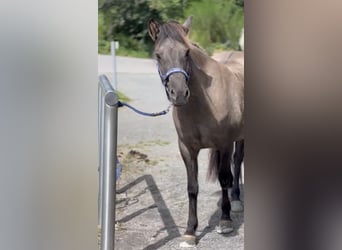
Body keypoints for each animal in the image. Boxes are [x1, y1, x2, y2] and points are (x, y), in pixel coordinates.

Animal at [147, 16, 243, 247]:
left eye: (187, 52)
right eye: (158, 55)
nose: (179, 94)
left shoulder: (225, 143)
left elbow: (224, 178)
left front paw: (225, 221)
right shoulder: (187, 148)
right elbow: (192, 187)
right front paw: (190, 231)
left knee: (237, 162)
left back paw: (236, 201)